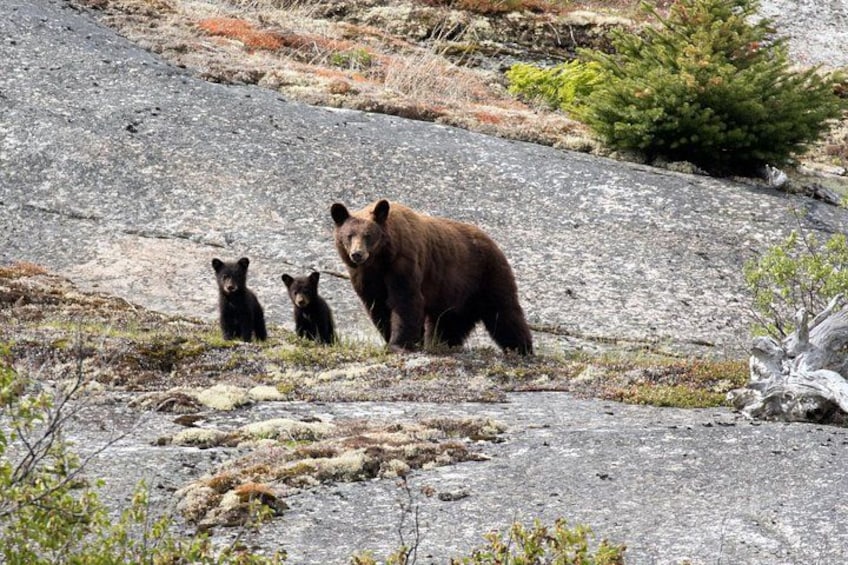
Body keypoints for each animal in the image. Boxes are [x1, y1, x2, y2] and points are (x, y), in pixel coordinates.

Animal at [330, 199, 533, 355]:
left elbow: (405, 301)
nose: (357, 254)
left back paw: (521, 349)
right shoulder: (365, 276)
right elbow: (377, 306)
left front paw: (398, 344)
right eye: (349, 235)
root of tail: (492, 242)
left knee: (504, 312)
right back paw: (441, 344)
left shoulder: (403, 264)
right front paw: (393, 339)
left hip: (486, 275)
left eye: (368, 235)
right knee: (448, 325)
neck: (380, 261)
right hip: (454, 296)